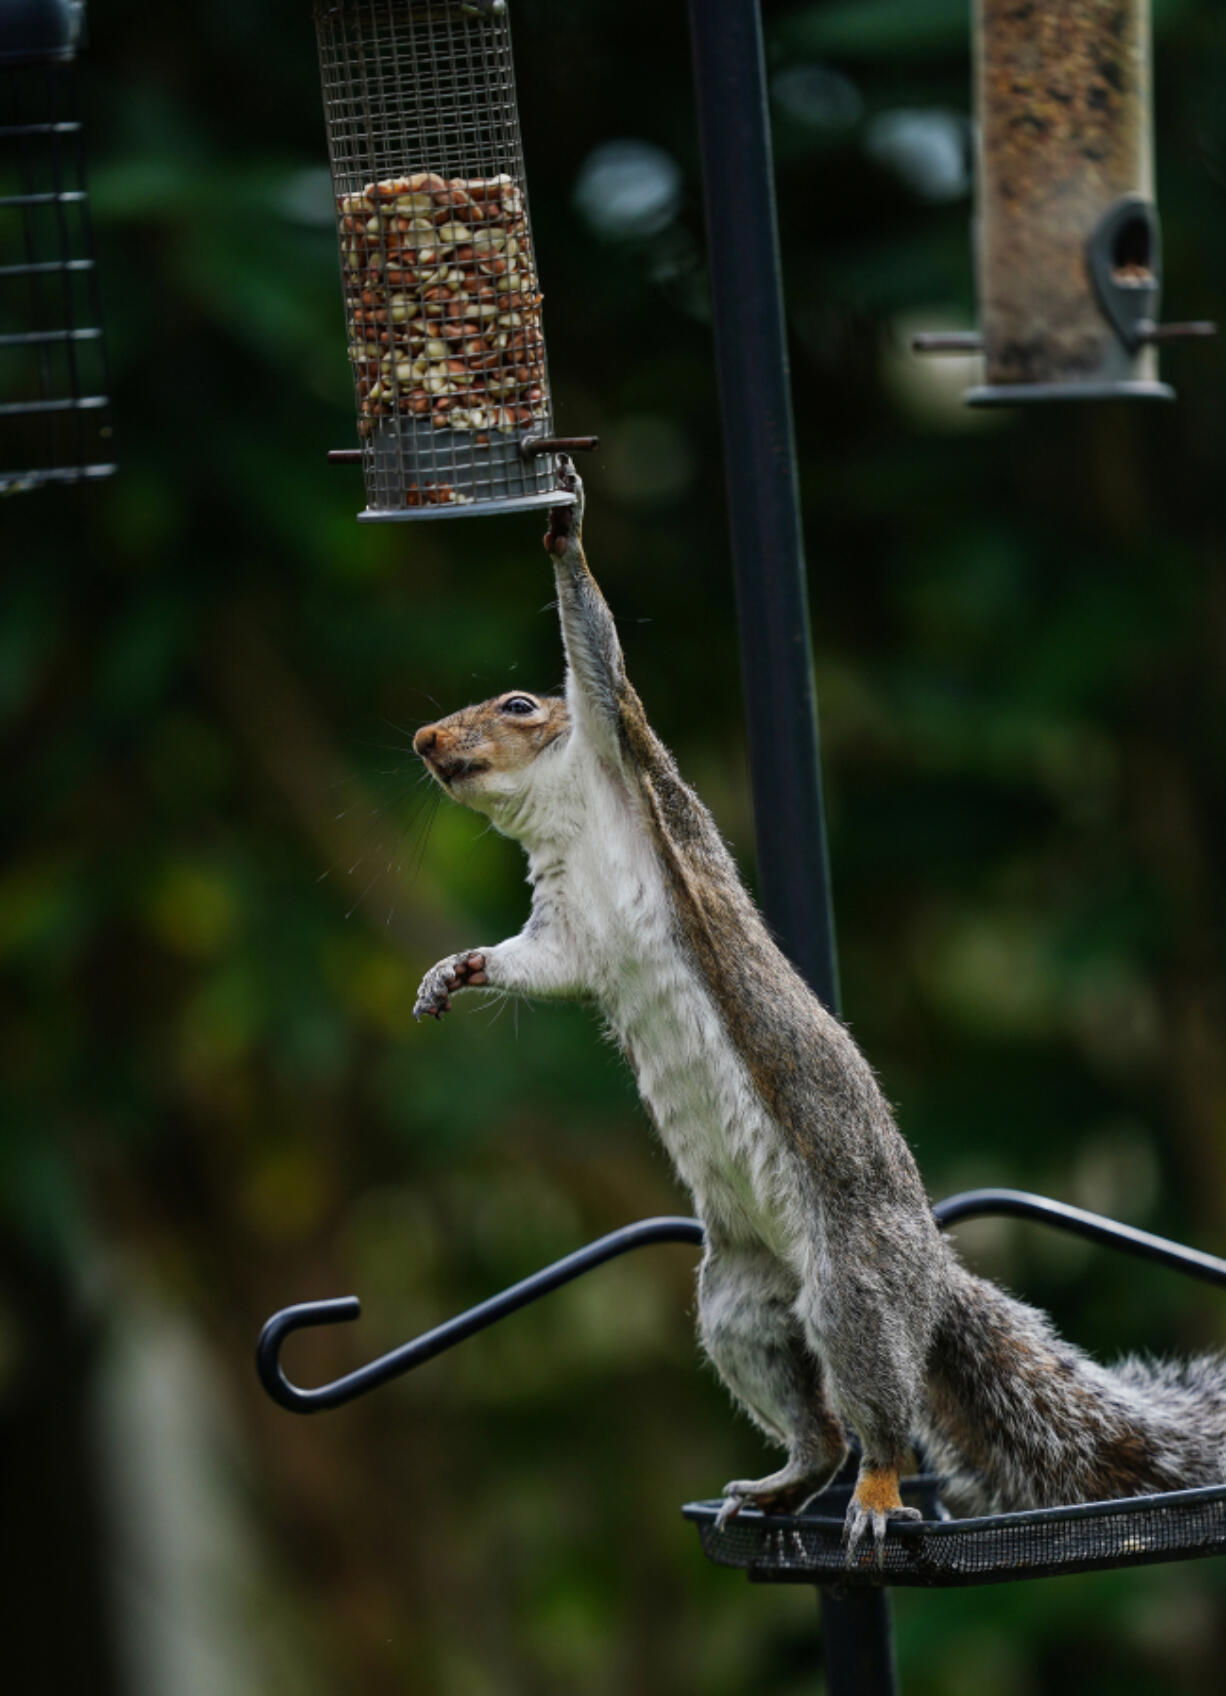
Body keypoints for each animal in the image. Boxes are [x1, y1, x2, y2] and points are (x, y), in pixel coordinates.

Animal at [410, 457, 1226, 1553]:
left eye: (514, 703)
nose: (423, 738)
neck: (565, 815)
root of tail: (928, 1269)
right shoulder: (565, 933)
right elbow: (528, 966)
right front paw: (451, 974)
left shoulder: (621, 743)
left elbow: (596, 645)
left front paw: (564, 531)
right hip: (741, 1302)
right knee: (818, 1427)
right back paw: (779, 1483)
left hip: (852, 1294)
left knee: (875, 1423)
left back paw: (875, 1497)